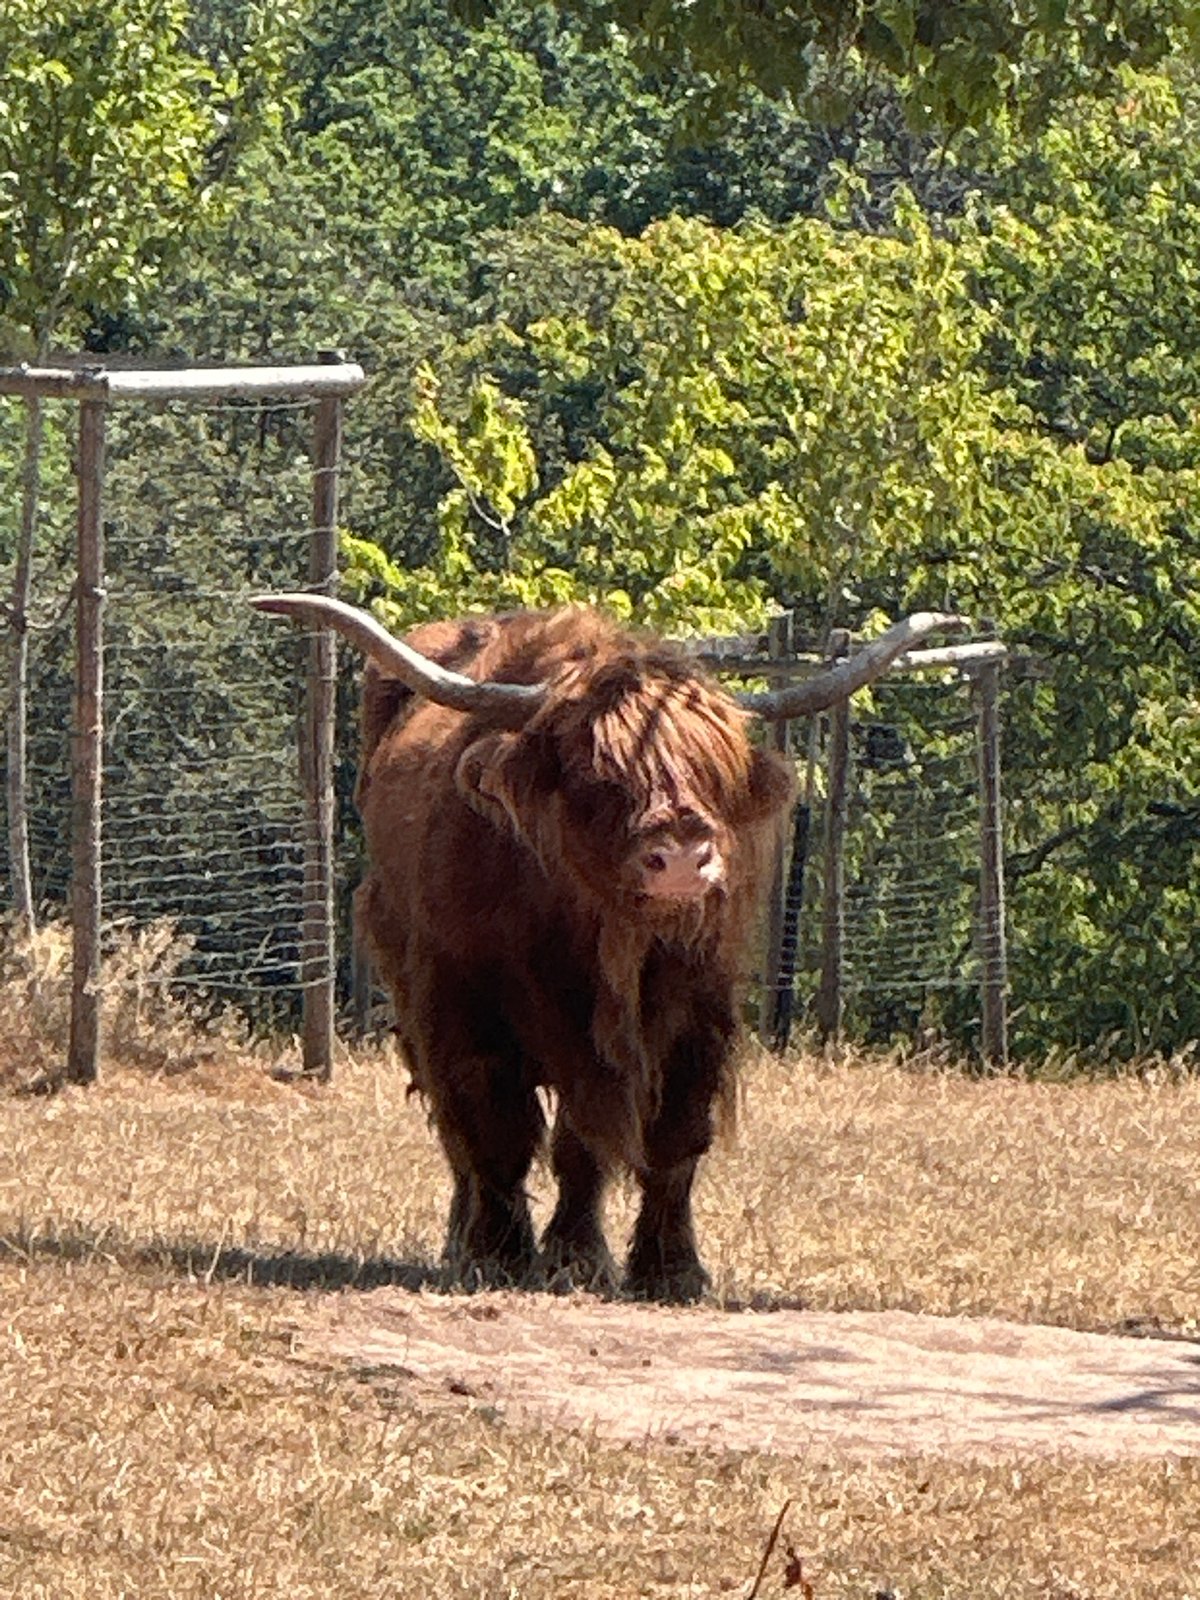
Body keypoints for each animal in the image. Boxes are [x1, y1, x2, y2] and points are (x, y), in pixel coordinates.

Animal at [254, 595, 959, 1301]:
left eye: (713, 768)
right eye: (600, 772)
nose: (682, 856)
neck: (606, 940)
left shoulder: (695, 1013)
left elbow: (649, 1140)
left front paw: (657, 1267)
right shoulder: (463, 1006)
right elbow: (496, 1131)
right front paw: (503, 1256)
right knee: (457, 1135)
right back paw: (463, 1241)